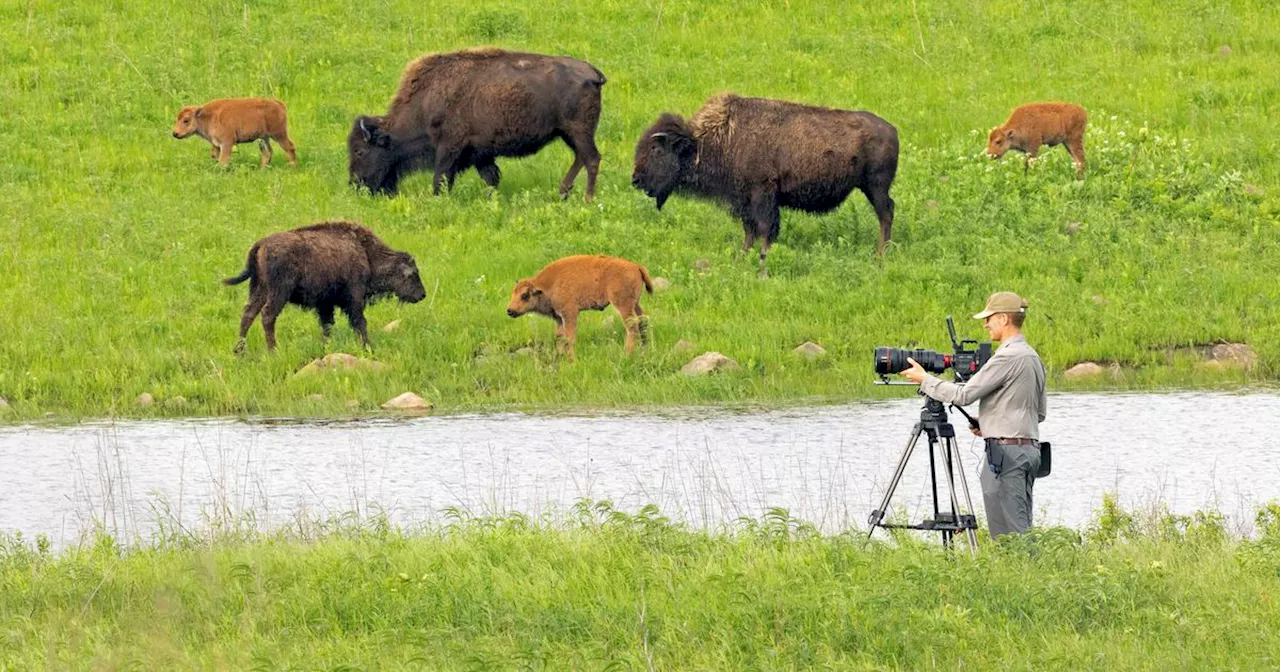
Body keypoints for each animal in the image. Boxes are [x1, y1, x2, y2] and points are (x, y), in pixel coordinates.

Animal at [224, 221, 424, 355]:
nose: (422, 295)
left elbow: (327, 325)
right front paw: (367, 346)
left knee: (248, 313)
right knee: (267, 316)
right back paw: (273, 350)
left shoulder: (325, 304)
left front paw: (325, 346)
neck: (366, 253)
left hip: (259, 289)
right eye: (413, 274)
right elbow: (360, 322)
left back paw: (240, 351)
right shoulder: (354, 298)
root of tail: (262, 243)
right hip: (278, 293)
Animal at [348, 47, 606, 199]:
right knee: (581, 158)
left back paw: (587, 198)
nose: (355, 186)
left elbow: (441, 178)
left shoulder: (449, 147)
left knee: (591, 158)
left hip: (578, 131)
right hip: (568, 133)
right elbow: (491, 177)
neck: (425, 102)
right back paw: (563, 192)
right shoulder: (481, 153)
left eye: (360, 151)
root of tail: (592, 72)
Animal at [504, 254, 655, 358]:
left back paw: (627, 353)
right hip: (635, 303)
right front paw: (560, 357)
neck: (549, 284)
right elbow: (560, 337)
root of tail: (635, 266)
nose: (510, 311)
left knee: (632, 325)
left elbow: (569, 338)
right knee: (643, 321)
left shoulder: (570, 313)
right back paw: (645, 349)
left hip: (623, 305)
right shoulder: (559, 318)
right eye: (513, 293)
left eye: (525, 295)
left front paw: (571, 359)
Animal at [632, 92, 901, 275]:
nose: (635, 179)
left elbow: (765, 228)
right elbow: (749, 230)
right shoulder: (744, 200)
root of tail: (893, 130)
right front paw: (741, 258)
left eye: (656, 149)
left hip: (875, 187)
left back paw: (880, 255)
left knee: (885, 213)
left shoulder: (763, 194)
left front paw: (762, 260)